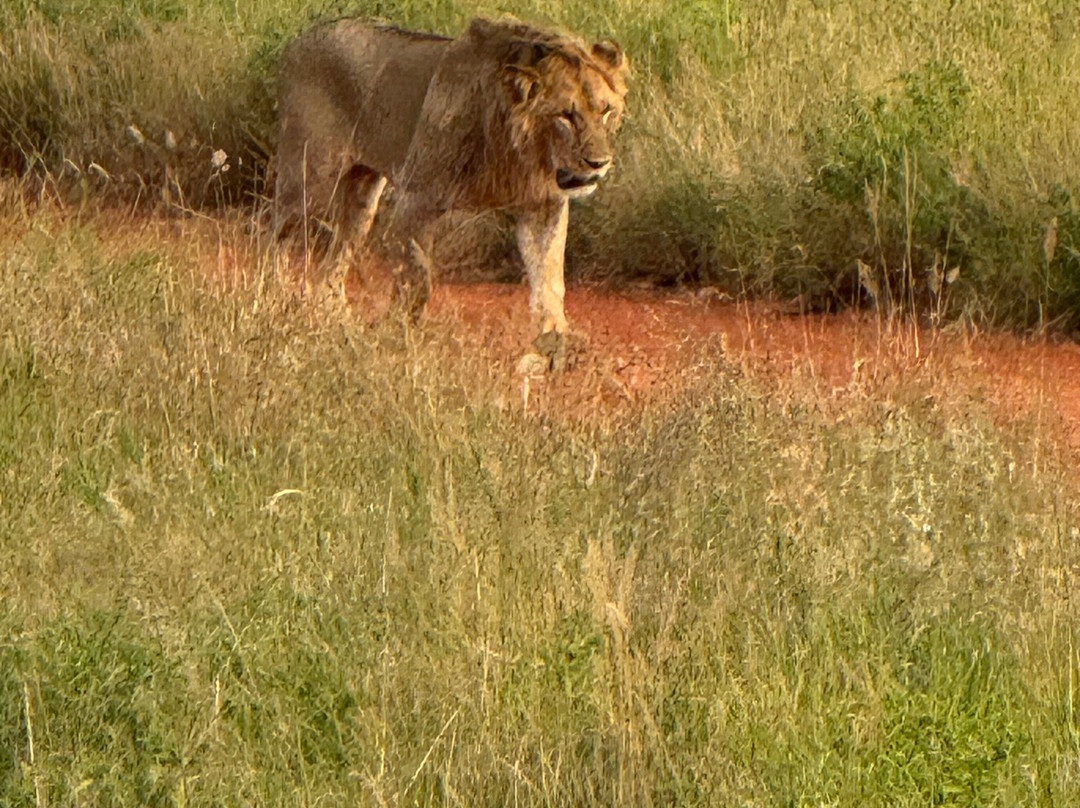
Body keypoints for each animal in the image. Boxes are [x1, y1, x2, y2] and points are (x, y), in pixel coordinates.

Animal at [274, 17, 629, 368]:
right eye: (565, 116)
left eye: (606, 112)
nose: (599, 163)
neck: (518, 148)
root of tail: (300, 40)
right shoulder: (417, 196)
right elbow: (417, 275)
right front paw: (399, 335)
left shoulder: (544, 205)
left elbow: (549, 280)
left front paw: (553, 346)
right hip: (309, 180)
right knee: (274, 233)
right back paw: (273, 301)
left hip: (362, 197)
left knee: (335, 258)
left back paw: (335, 319)